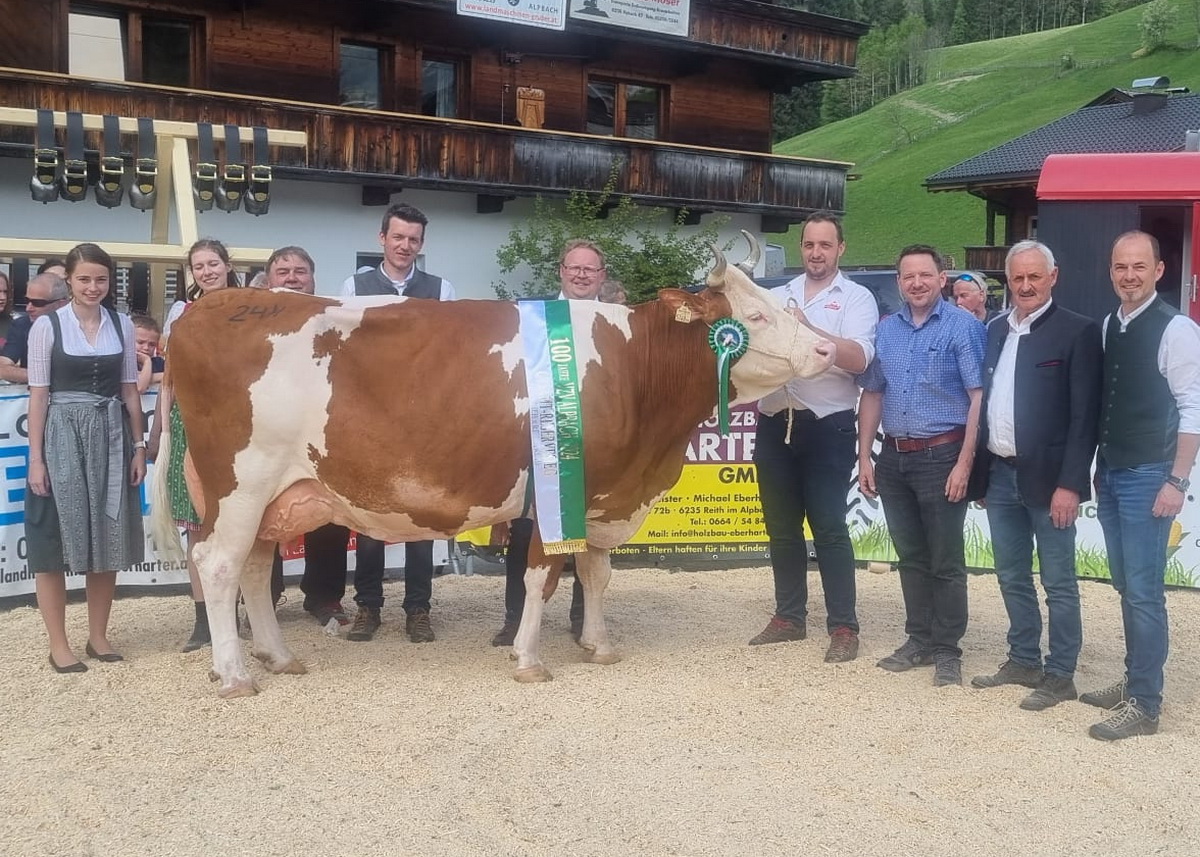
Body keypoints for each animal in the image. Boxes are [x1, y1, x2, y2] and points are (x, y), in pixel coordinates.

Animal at [152, 238, 835, 696]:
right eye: (756, 316)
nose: (828, 350)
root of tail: (208, 306)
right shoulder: (563, 493)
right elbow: (542, 576)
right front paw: (530, 658)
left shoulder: (599, 496)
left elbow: (596, 574)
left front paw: (598, 645)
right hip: (240, 484)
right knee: (217, 564)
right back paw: (234, 673)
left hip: (276, 496)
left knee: (253, 567)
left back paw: (277, 656)